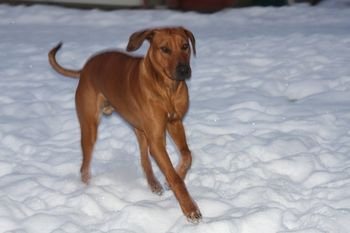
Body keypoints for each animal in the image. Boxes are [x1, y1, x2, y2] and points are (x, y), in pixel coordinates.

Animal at [49, 27, 202, 222]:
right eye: (165, 49)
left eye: (185, 46)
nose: (184, 70)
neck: (167, 88)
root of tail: (85, 68)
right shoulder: (157, 139)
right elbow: (174, 176)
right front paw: (190, 209)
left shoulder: (174, 123)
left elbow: (186, 155)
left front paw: (172, 179)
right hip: (90, 128)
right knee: (84, 168)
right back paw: (87, 191)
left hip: (140, 129)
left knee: (144, 158)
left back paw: (154, 184)